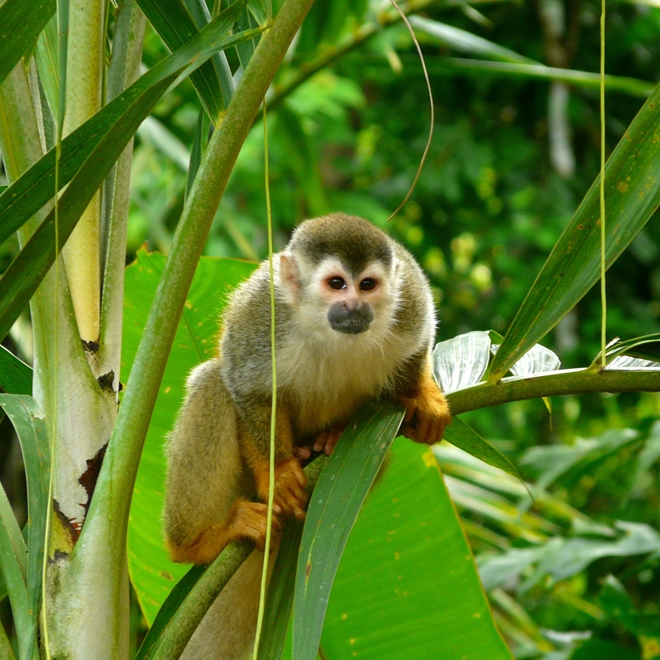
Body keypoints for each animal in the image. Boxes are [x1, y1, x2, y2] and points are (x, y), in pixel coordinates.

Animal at [163, 213, 451, 659]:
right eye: (336, 284)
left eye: (368, 285)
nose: (354, 306)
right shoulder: (262, 314)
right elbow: (246, 386)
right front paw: (278, 471)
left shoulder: (411, 299)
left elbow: (420, 340)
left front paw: (421, 393)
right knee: (213, 383)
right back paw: (198, 541)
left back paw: (331, 440)